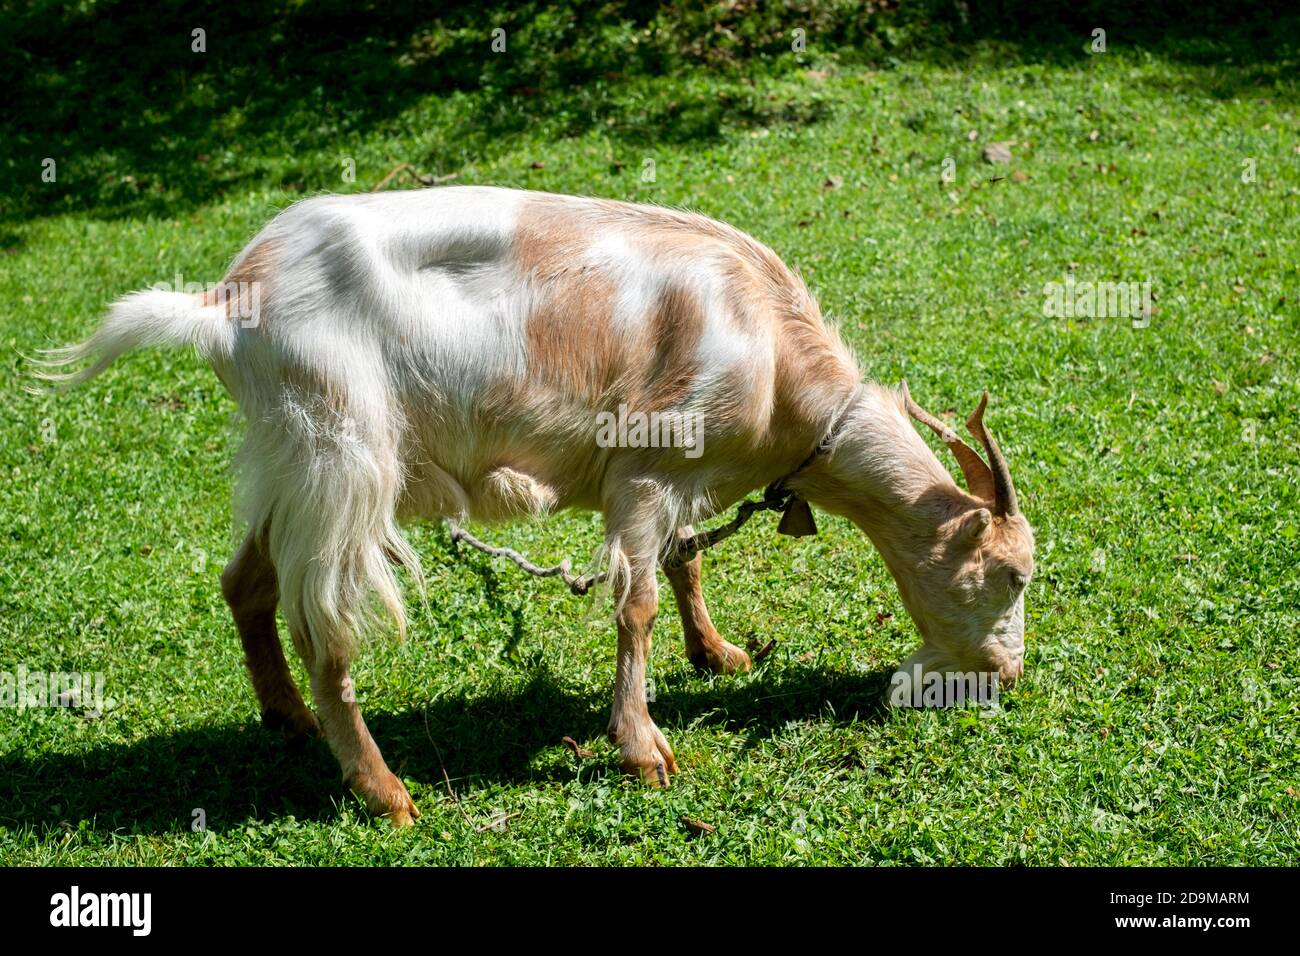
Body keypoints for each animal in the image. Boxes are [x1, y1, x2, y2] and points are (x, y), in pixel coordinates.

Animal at [39, 186, 1035, 824]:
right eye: (1014, 574)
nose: (1010, 673)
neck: (778, 362)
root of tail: (224, 303)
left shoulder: (683, 477)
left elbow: (686, 562)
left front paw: (718, 654)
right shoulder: (646, 469)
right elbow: (635, 603)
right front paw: (643, 749)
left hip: (288, 463)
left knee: (245, 582)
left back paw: (285, 718)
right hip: (342, 459)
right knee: (326, 631)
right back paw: (387, 795)